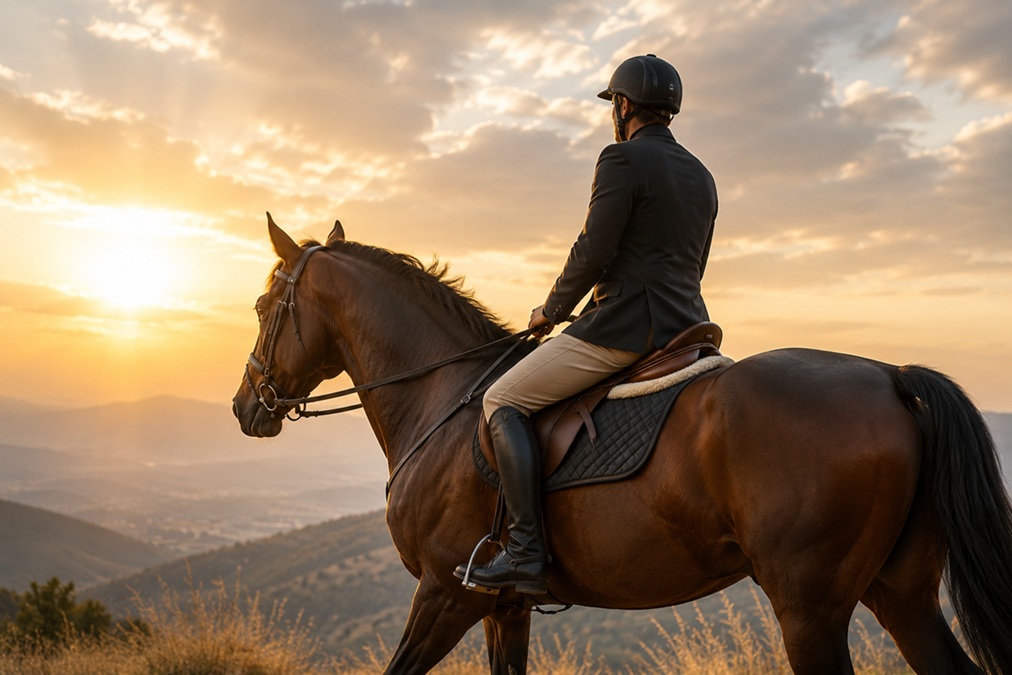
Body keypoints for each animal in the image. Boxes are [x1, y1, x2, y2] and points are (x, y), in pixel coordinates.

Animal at [232, 214, 1012, 675]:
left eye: (265, 306)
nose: (245, 407)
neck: (441, 395)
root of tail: (889, 377)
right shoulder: (505, 607)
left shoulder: (445, 592)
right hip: (900, 592)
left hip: (811, 607)